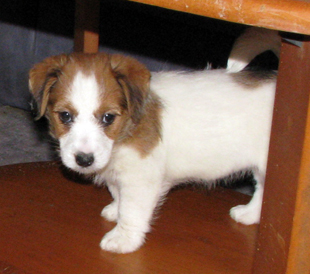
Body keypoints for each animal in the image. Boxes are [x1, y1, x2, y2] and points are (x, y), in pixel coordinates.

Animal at [29, 28, 280, 254]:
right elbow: (118, 195)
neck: (125, 132)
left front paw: (123, 238)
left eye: (108, 117)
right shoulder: (121, 175)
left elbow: (132, 211)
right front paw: (115, 210)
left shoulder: (141, 179)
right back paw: (249, 214)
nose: (83, 160)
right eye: (65, 116)